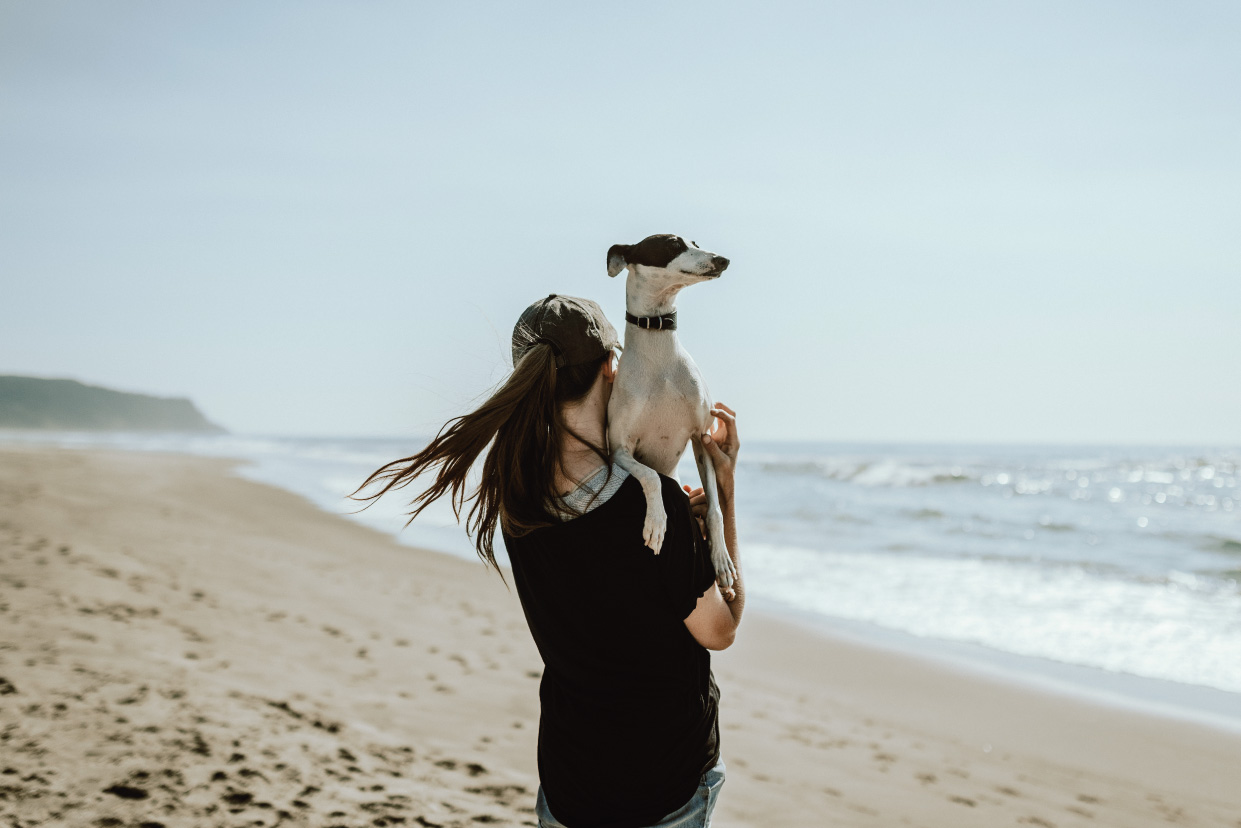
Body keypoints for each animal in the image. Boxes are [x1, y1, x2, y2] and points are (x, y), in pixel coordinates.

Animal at [608, 233, 739, 588]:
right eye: (672, 244)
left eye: (695, 242)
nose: (722, 260)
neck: (660, 358)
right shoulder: (619, 450)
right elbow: (651, 475)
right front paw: (656, 523)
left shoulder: (700, 438)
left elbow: (715, 510)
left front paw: (721, 559)